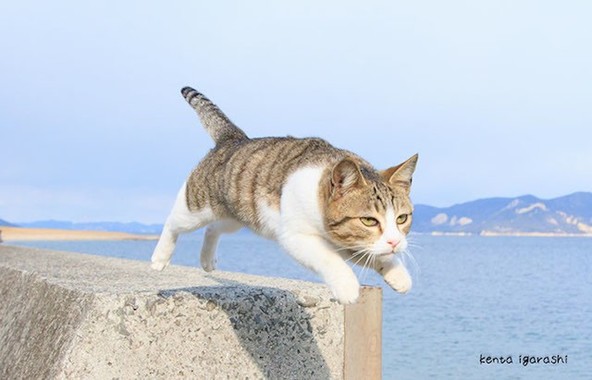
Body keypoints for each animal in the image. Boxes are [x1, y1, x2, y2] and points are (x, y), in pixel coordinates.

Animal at [153, 87, 420, 304]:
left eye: (402, 218)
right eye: (369, 220)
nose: (395, 242)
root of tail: (233, 138)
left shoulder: (352, 242)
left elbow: (373, 253)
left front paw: (397, 273)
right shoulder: (296, 236)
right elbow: (331, 259)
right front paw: (347, 287)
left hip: (237, 215)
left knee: (214, 228)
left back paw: (207, 260)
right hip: (197, 207)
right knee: (175, 222)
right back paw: (159, 257)